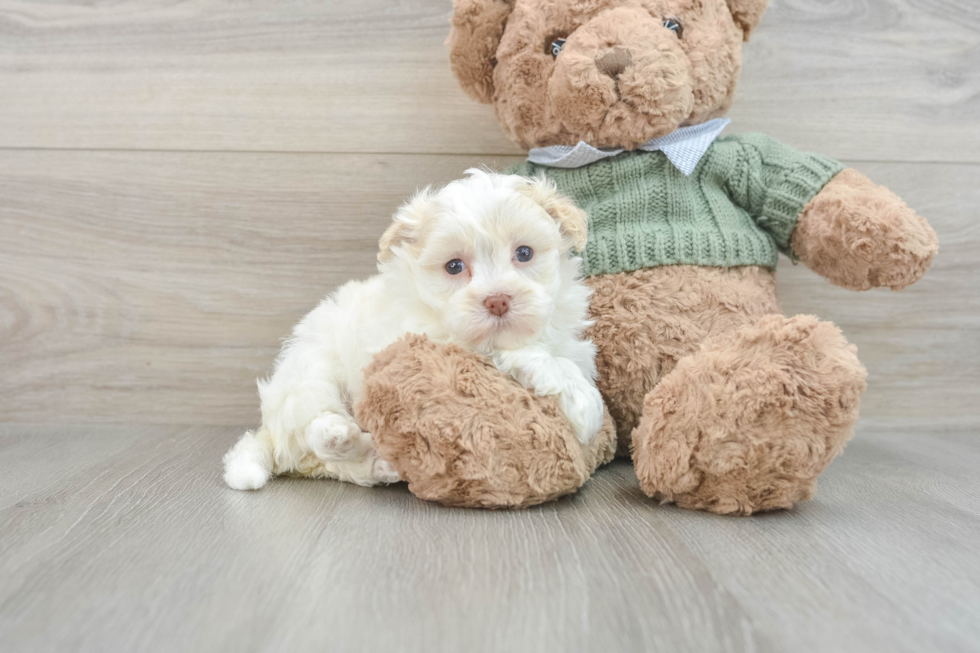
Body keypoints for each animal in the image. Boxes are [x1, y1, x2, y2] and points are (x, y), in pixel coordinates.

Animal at [223, 168, 604, 488]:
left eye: (524, 253)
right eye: (454, 266)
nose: (497, 301)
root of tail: (270, 422)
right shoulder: (432, 340)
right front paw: (574, 394)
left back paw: (378, 463)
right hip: (310, 369)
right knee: (312, 436)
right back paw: (336, 433)